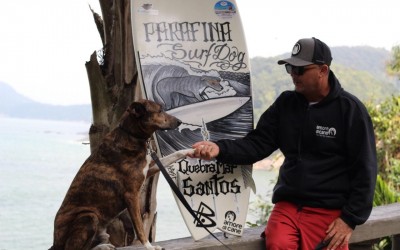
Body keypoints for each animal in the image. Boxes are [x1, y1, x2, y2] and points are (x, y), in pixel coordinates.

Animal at [49, 99, 193, 250]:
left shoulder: (149, 169)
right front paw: (149, 246)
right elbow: (139, 228)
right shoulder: (131, 195)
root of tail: (55, 243)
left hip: (101, 232)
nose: (180, 121)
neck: (131, 135)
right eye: (159, 110)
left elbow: (173, 155)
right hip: (88, 216)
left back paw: (103, 246)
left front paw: (191, 150)